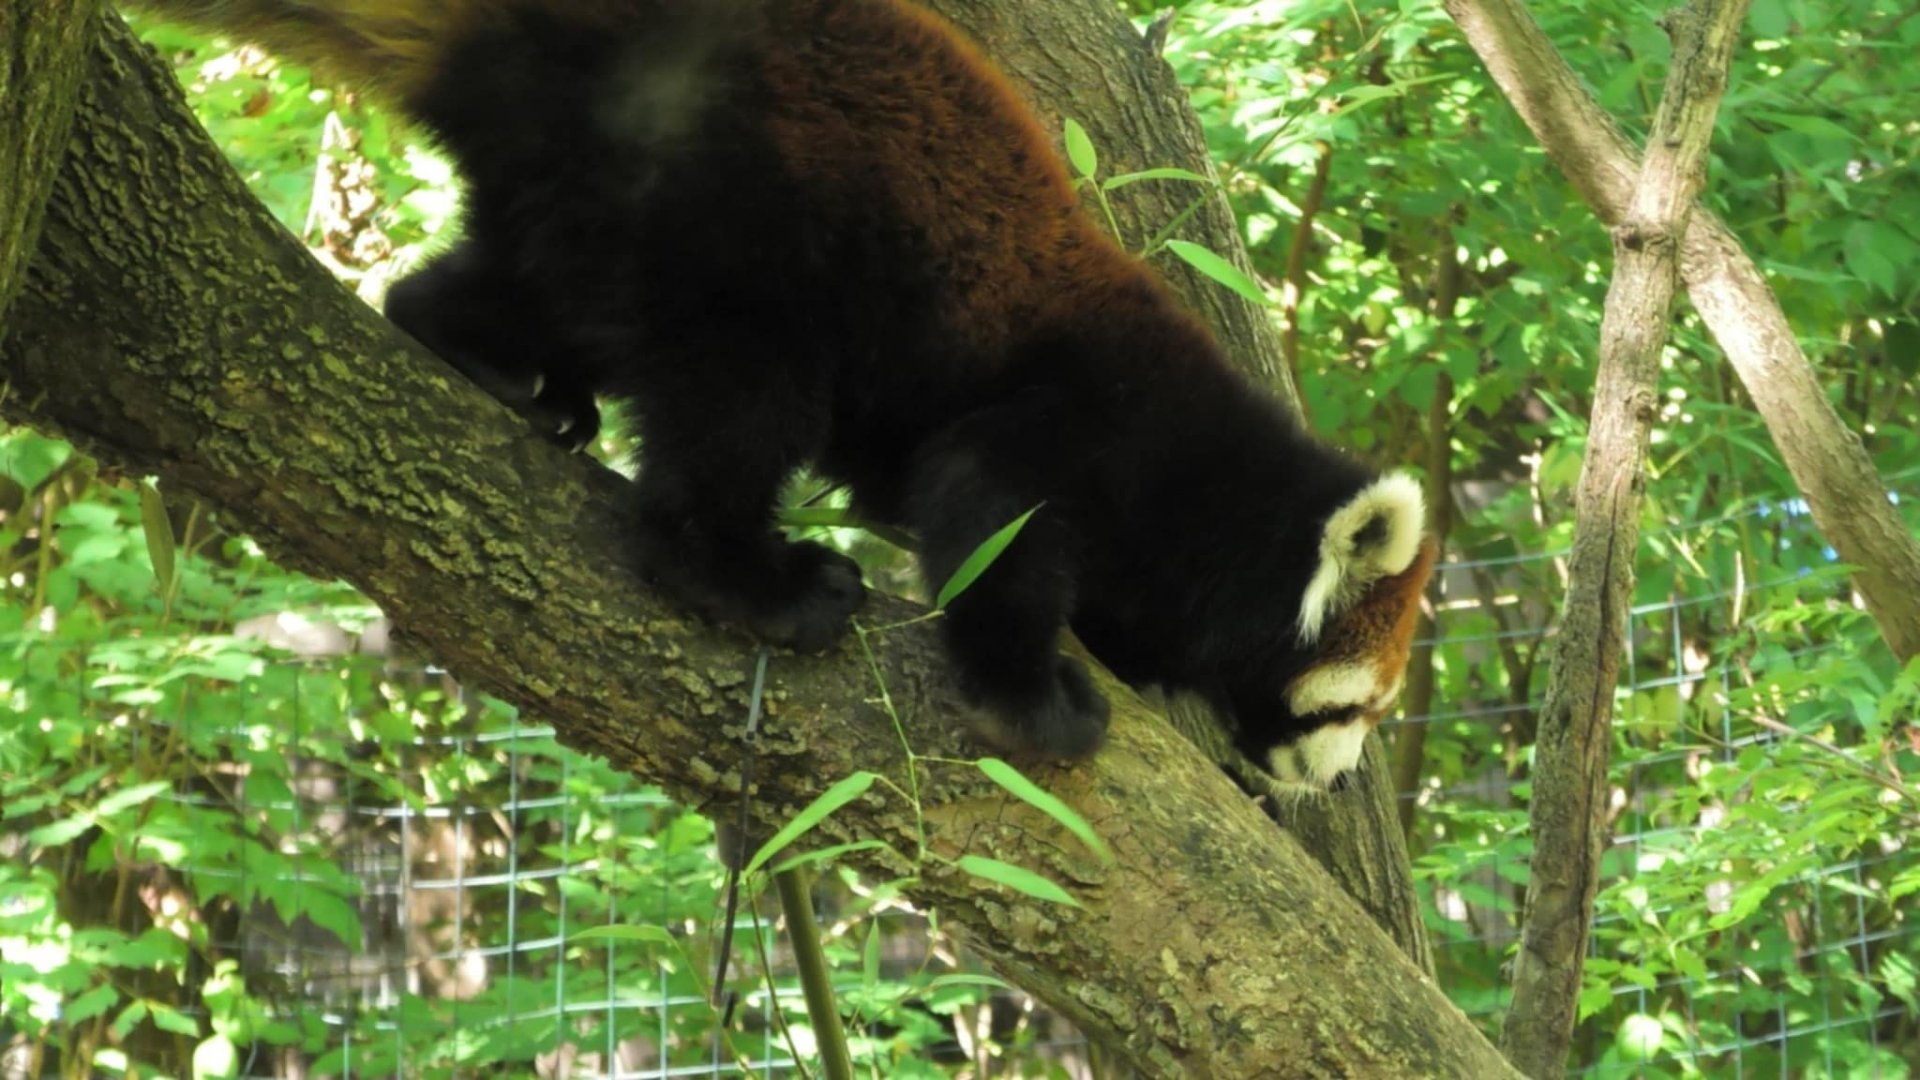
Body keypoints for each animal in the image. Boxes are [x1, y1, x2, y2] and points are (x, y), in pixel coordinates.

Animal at [131, 0, 1434, 787]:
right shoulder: (1081, 419)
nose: (1333, 783)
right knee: (734, 414)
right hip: (729, 205)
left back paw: (482, 356)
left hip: (600, 197)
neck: (1206, 481)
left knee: (516, 285)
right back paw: (751, 578)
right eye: (1356, 711)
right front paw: (1033, 703)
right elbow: (986, 515)